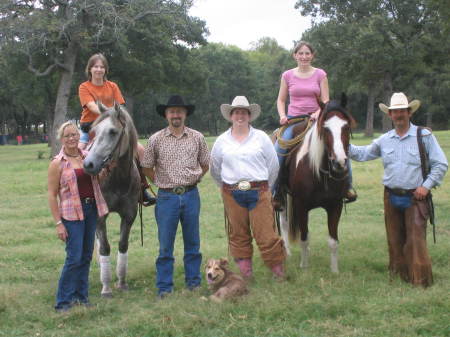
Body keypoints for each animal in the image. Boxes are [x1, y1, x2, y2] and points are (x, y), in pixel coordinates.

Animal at [82, 103, 142, 296]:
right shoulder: (100, 216)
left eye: (113, 131)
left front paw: (121, 282)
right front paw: (106, 287)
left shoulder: (129, 215)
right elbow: (104, 247)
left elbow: (122, 245)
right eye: (94, 131)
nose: (89, 164)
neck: (118, 179)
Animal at [282, 93, 356, 272]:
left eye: (346, 126)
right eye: (325, 128)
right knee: (284, 222)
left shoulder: (335, 205)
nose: (339, 162)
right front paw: (304, 267)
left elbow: (333, 241)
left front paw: (335, 271)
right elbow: (304, 238)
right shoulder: (301, 205)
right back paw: (287, 252)